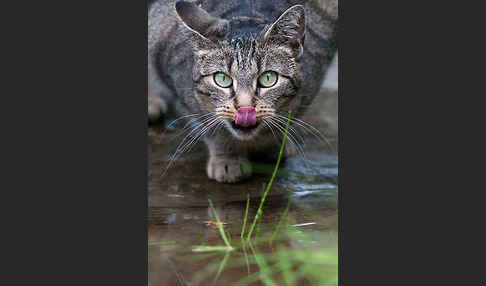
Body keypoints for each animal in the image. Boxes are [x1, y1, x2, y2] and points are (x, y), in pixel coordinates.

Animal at [148, 0, 338, 182]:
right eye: (222, 79)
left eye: (268, 78)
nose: (245, 109)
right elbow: (213, 128)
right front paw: (227, 159)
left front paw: (273, 144)